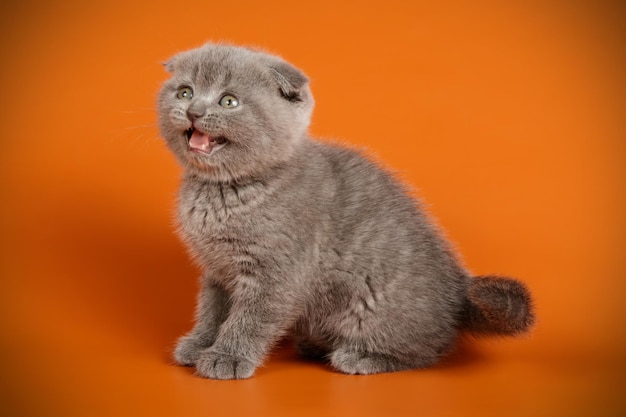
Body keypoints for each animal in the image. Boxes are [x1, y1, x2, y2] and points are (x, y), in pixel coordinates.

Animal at [155, 44, 532, 378]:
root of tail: (459, 288)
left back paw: (362, 356)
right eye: (185, 92)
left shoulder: (276, 272)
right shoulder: (217, 270)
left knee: (427, 351)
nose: (194, 112)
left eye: (229, 101)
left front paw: (226, 357)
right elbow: (212, 311)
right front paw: (199, 344)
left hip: (375, 310)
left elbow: (250, 318)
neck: (224, 191)